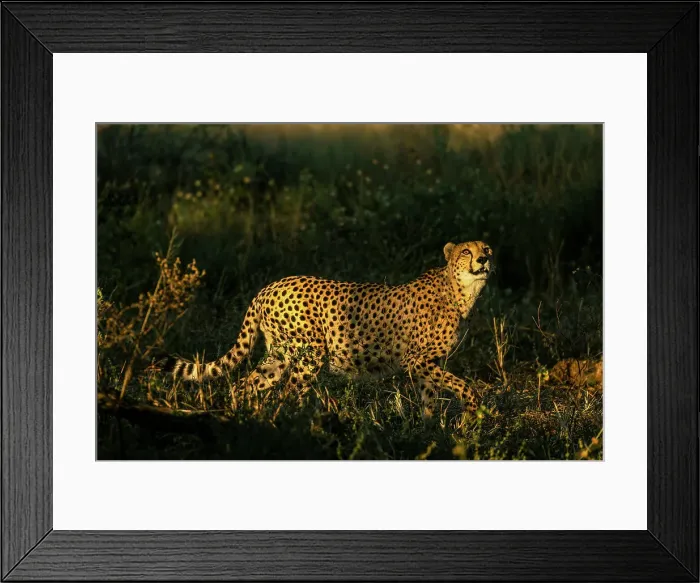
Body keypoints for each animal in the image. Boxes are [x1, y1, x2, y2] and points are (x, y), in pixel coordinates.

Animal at [168, 240, 492, 417]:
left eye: (487, 248)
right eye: (466, 251)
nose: (484, 259)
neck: (461, 290)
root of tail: (270, 286)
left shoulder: (426, 364)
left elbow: (429, 400)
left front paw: (430, 432)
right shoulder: (417, 360)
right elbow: (464, 386)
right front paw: (472, 409)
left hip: (279, 356)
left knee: (248, 384)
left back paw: (245, 415)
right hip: (310, 353)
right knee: (290, 393)